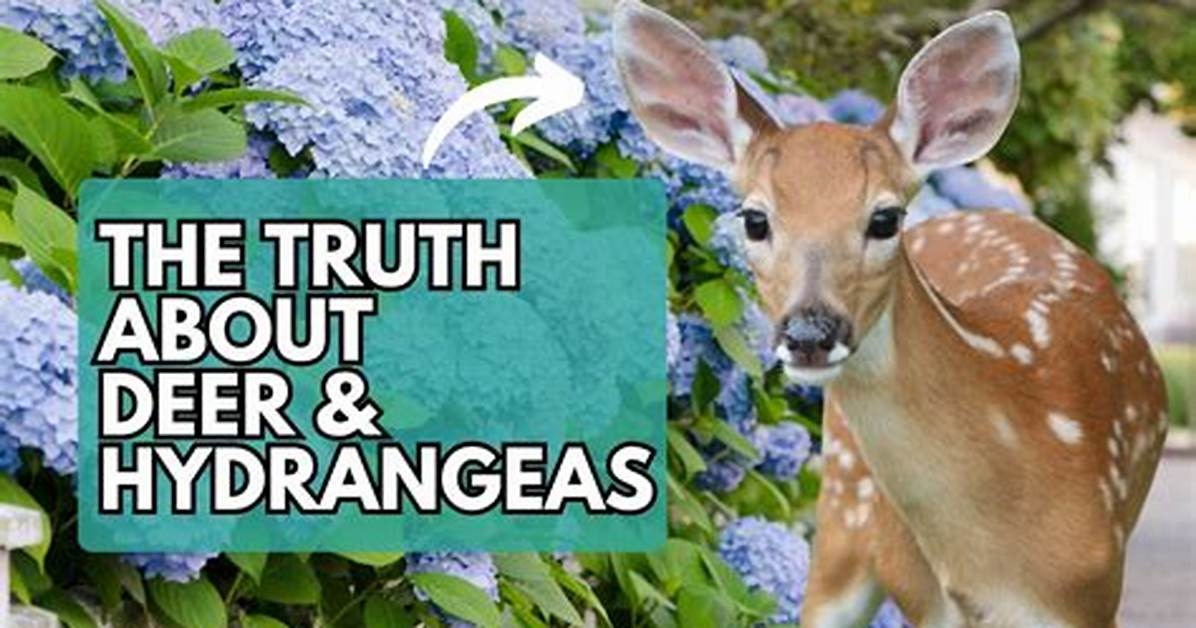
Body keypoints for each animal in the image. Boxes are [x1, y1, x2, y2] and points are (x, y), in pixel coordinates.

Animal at [612, 2, 1168, 626]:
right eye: (755, 220)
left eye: (884, 219)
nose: (810, 332)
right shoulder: (930, 603)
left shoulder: (1087, 593)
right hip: (843, 512)